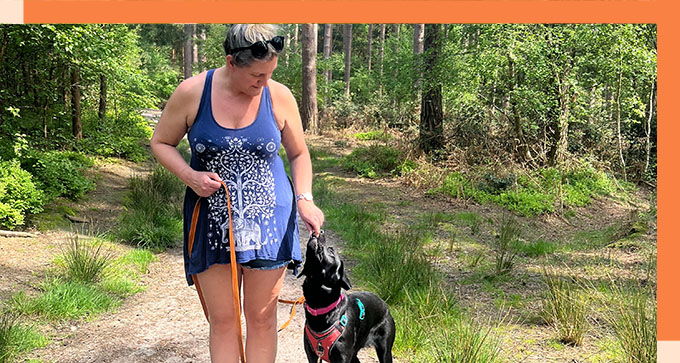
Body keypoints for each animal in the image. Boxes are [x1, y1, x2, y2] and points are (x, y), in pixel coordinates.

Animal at [296, 233, 396, 363]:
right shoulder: (312, 354)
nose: (319, 232)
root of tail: (385, 305)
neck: (320, 307)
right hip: (354, 354)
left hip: (384, 351)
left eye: (331, 251)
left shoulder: (342, 357)